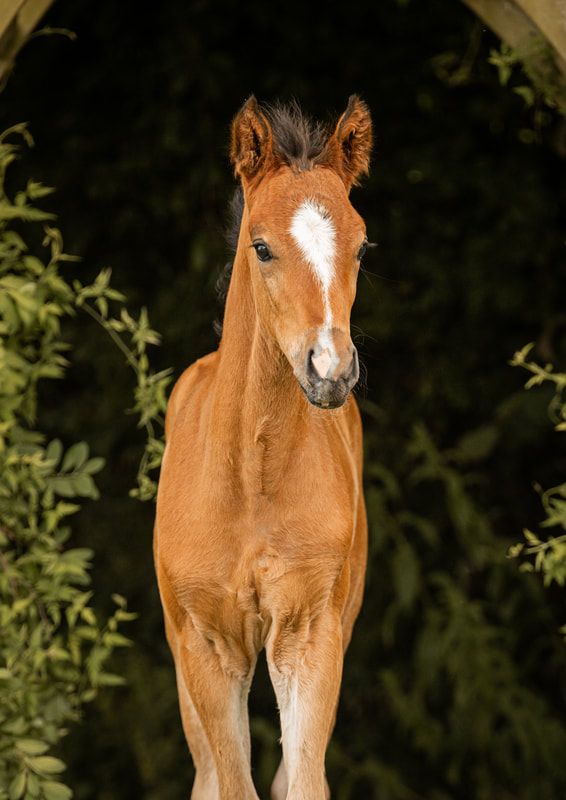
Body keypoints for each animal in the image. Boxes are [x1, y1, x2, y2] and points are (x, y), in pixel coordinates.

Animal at [154, 95, 372, 800]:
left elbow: (301, 782)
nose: (330, 368)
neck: (250, 479)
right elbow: (230, 784)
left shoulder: (308, 635)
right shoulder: (208, 646)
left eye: (362, 246)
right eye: (262, 246)